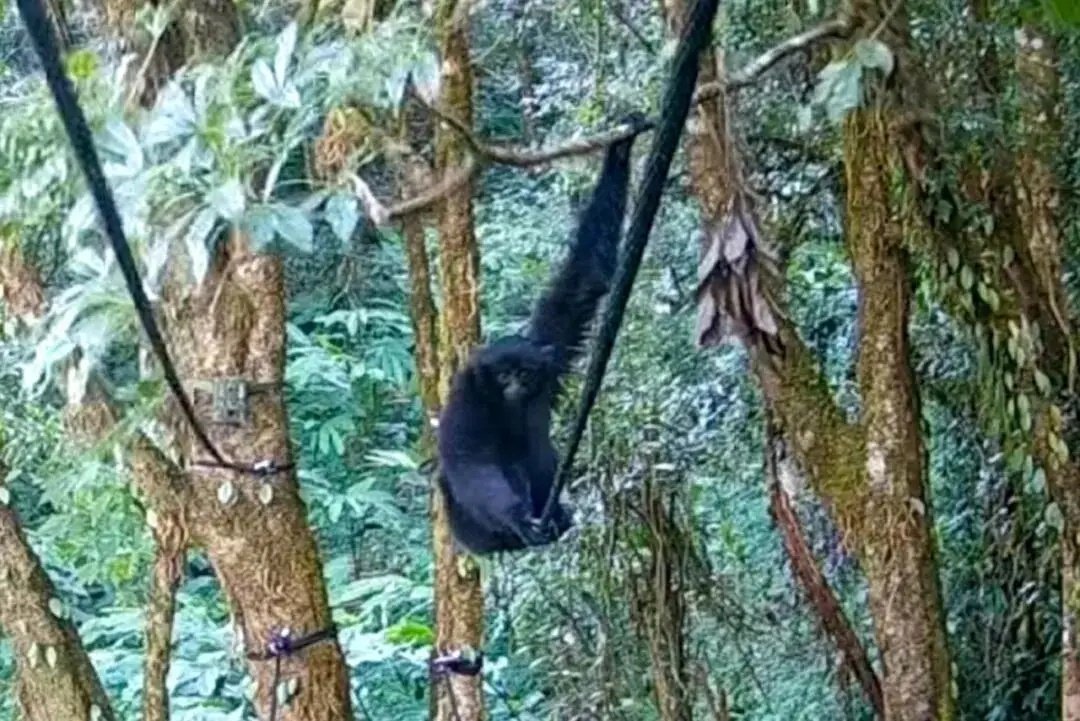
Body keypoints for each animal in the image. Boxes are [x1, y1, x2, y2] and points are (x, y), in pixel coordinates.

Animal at [436, 121, 644, 555]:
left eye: (525, 373)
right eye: (502, 375)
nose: (514, 384)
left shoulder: (550, 348)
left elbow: (582, 284)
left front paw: (621, 148)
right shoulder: (467, 395)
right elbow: (470, 463)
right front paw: (516, 515)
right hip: (473, 532)